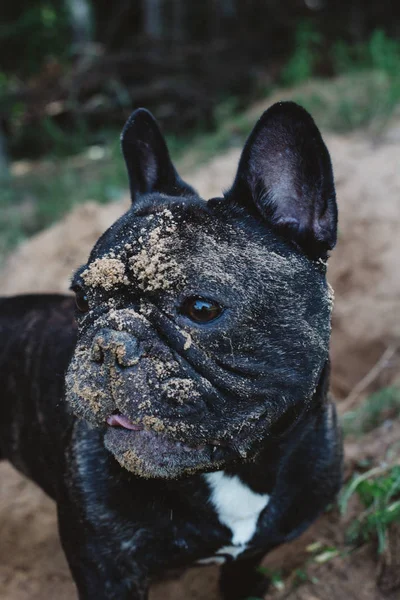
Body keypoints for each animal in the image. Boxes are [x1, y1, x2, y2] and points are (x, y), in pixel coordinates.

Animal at [0, 103, 340, 600]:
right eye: (80, 299)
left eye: (201, 308)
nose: (110, 343)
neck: (232, 474)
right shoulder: (106, 570)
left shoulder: (261, 544)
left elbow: (242, 568)